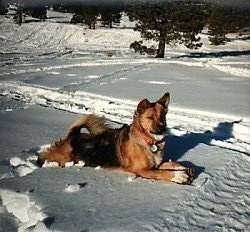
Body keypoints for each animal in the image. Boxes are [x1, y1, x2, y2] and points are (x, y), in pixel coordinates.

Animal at [37, 93, 193, 184]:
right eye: (150, 118)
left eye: (163, 116)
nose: (162, 128)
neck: (147, 141)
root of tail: (72, 136)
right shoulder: (143, 170)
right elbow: (162, 173)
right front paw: (179, 176)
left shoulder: (156, 163)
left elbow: (173, 164)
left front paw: (184, 169)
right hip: (60, 159)